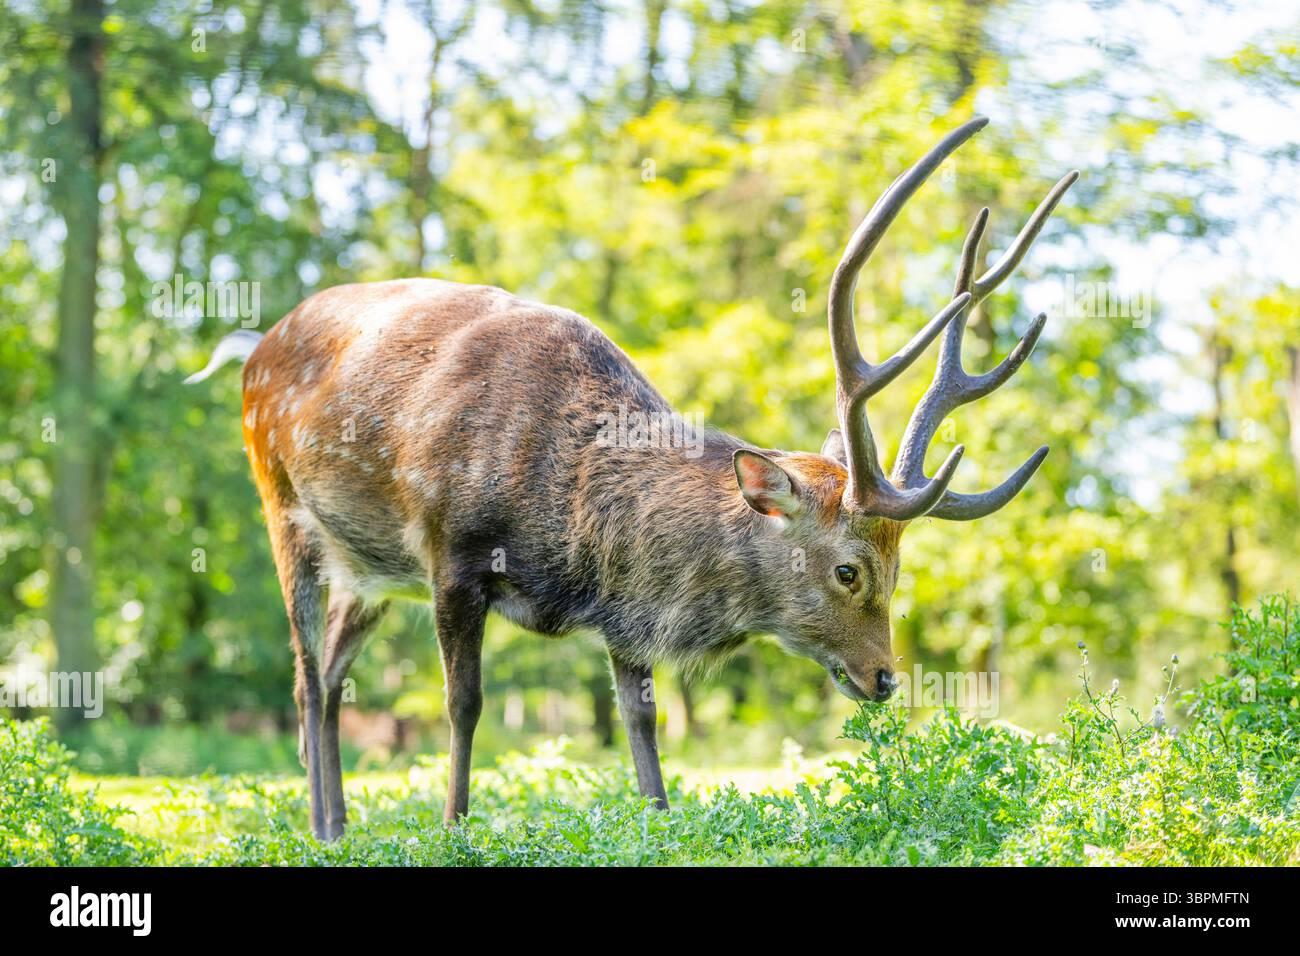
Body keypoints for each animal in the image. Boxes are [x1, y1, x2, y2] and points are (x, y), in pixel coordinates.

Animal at [187, 117, 1077, 840]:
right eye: (849, 570)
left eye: (899, 565)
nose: (886, 677)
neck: (576, 532)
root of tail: (252, 347)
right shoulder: (453, 552)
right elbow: (464, 703)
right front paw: (453, 828)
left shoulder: (625, 612)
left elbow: (641, 720)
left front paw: (658, 815)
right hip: (282, 505)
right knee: (306, 676)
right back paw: (318, 826)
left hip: (368, 570)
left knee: (334, 673)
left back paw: (336, 825)